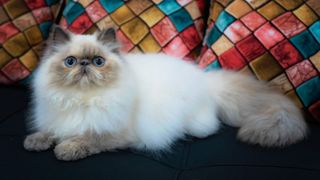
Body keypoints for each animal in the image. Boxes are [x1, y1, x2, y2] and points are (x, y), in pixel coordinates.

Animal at [23, 25, 308, 160]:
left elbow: (87, 139)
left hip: (197, 124)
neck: (82, 99)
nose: (84, 65)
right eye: (70, 62)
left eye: (98, 62)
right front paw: (35, 142)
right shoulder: (57, 118)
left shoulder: (115, 134)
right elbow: (50, 132)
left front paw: (65, 149)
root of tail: (205, 80)